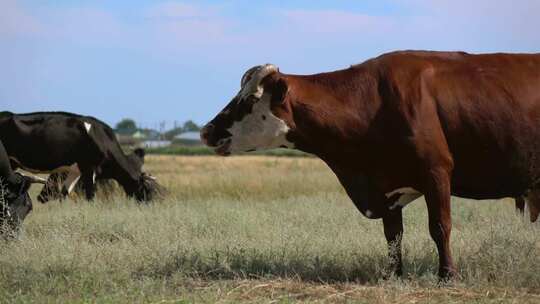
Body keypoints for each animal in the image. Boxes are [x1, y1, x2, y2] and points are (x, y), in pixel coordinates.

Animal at [0, 111, 158, 202]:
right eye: (146, 190)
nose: (149, 205)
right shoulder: (89, 168)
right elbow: (90, 196)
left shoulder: (75, 171)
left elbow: (63, 194)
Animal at [200, 50, 540, 280]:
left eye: (247, 101)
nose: (206, 131)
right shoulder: (386, 187)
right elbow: (393, 235)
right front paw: (394, 274)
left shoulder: (436, 172)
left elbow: (440, 226)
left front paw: (447, 275)